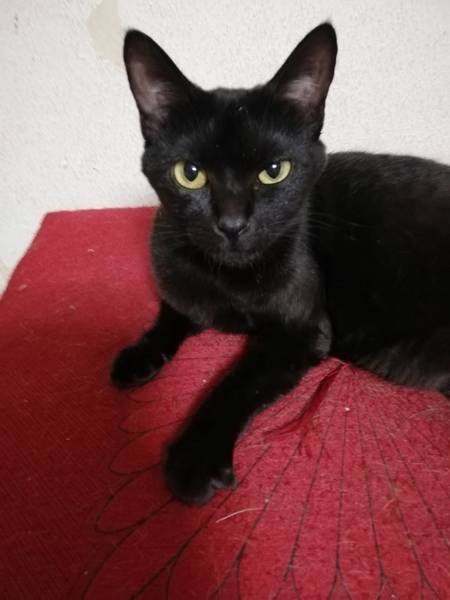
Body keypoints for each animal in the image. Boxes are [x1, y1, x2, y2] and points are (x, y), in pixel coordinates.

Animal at [111, 23, 450, 504]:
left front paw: (193, 459)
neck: (226, 280)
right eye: (189, 174)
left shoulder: (302, 331)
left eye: (275, 171)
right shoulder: (178, 281)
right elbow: (170, 314)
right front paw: (139, 356)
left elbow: (236, 384)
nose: (232, 224)